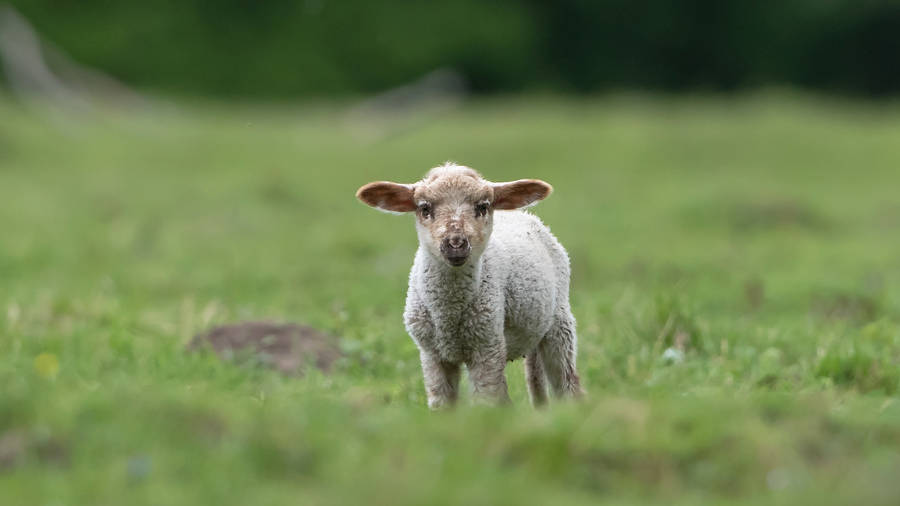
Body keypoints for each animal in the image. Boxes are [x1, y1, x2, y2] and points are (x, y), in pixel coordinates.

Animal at [356, 163, 582, 408]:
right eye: (424, 208)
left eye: (482, 206)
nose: (455, 243)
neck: (449, 314)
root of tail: (522, 214)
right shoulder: (431, 353)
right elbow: (443, 405)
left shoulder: (486, 346)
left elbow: (486, 401)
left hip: (559, 322)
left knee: (567, 382)